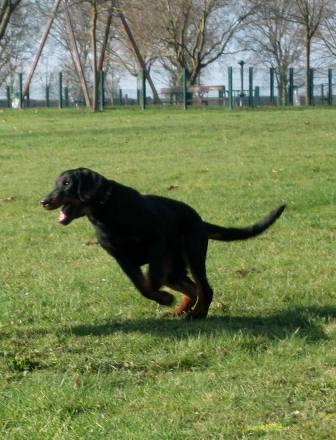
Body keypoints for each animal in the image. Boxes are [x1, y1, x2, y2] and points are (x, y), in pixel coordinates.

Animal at [40, 167, 284, 318]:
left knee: (204, 288)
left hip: (192, 255)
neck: (105, 210)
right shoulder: (122, 258)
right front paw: (164, 298)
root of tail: (200, 220)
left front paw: (163, 296)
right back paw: (180, 311)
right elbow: (143, 287)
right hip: (175, 268)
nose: (44, 201)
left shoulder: (157, 241)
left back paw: (197, 314)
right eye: (56, 183)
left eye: (67, 183)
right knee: (193, 289)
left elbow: (152, 279)